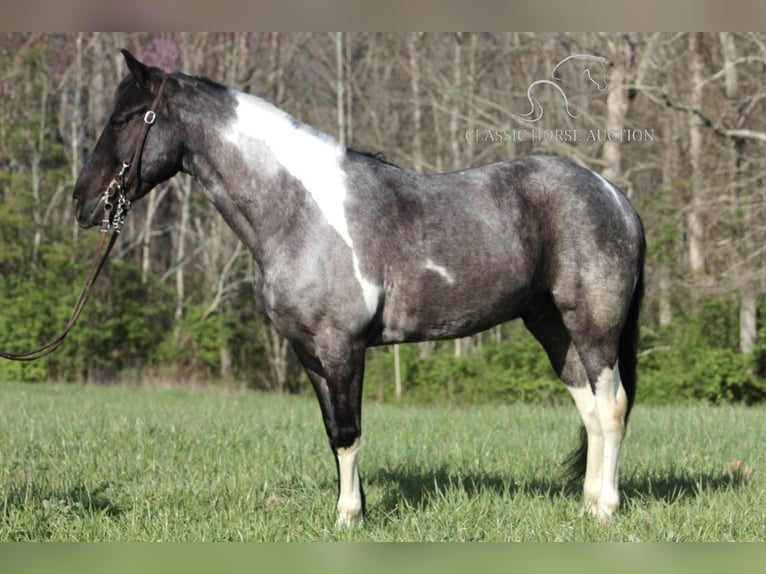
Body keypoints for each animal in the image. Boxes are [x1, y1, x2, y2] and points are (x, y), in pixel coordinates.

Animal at [73, 51, 648, 528]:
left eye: (122, 119)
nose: (83, 203)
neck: (299, 211)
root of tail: (614, 196)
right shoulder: (308, 352)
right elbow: (333, 431)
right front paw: (355, 508)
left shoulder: (341, 346)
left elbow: (349, 433)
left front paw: (349, 517)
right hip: (552, 326)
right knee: (590, 410)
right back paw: (588, 504)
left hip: (593, 327)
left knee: (612, 407)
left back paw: (606, 509)